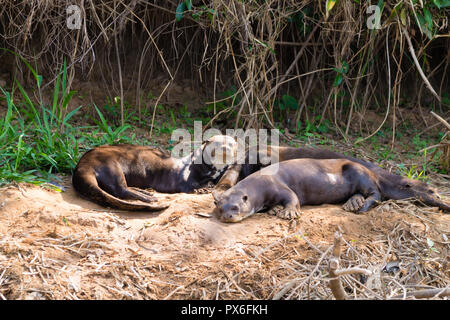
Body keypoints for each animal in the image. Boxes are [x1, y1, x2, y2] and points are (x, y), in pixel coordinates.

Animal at [71, 134, 236, 211]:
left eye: (231, 143)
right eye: (216, 144)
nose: (225, 148)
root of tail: (82, 164)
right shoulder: (184, 175)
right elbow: (188, 186)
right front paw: (202, 189)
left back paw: (146, 192)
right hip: (110, 165)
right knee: (120, 190)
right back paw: (149, 198)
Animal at [214, 158, 386, 222]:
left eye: (235, 207)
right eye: (220, 209)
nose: (227, 216)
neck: (259, 185)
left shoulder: (276, 184)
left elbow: (292, 196)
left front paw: (288, 212)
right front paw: (274, 209)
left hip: (359, 172)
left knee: (376, 193)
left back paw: (362, 206)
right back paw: (353, 203)